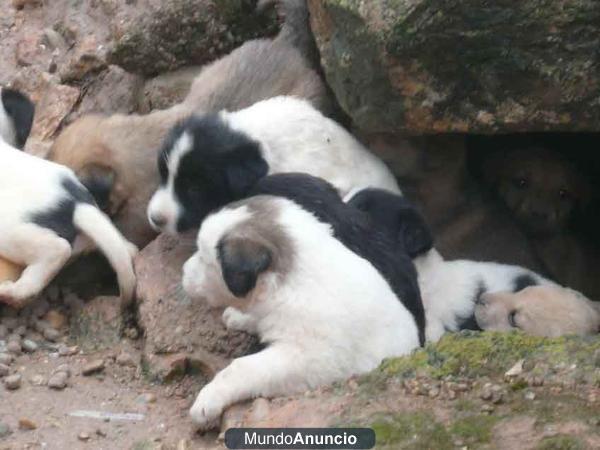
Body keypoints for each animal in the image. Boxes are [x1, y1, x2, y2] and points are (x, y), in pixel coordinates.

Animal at [183, 178, 422, 426]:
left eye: (203, 258)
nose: (183, 272)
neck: (293, 284)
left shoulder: (304, 358)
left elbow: (243, 368)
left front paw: (208, 399)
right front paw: (240, 317)